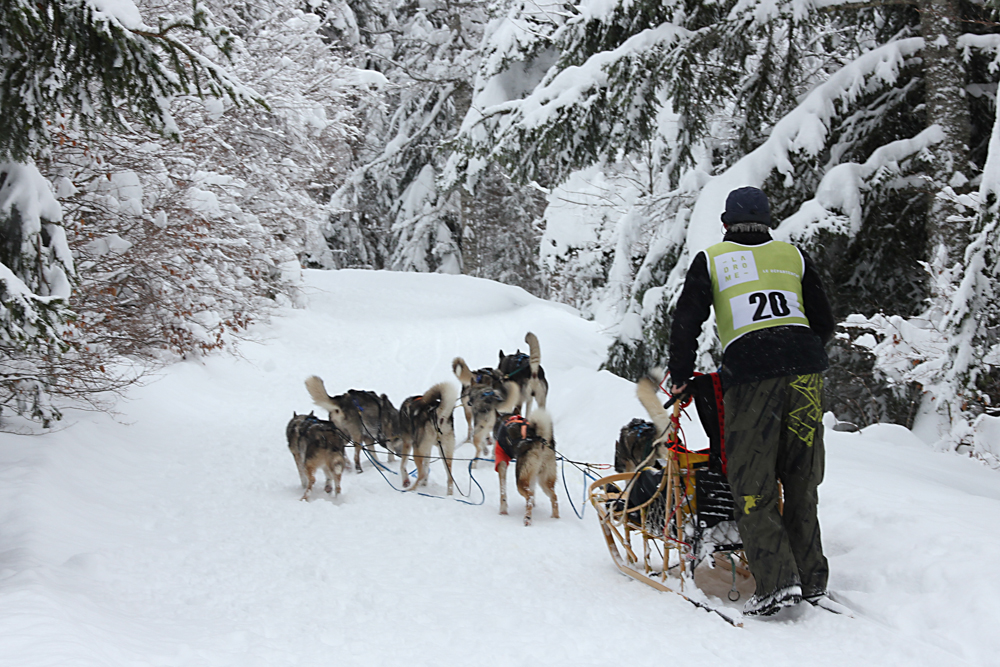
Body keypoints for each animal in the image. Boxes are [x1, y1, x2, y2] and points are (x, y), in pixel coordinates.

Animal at [494, 386, 564, 528]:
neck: (507, 418)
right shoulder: (531, 476)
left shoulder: (502, 463)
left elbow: (503, 492)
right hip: (544, 479)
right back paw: (554, 518)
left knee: (530, 496)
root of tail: (539, 439)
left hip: (521, 479)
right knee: (554, 497)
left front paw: (503, 510)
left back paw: (527, 518)